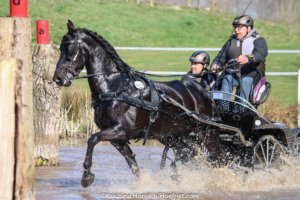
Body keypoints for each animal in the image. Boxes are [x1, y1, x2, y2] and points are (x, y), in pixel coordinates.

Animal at [53, 20, 223, 188]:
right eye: (60, 47)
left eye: (70, 48)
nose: (58, 78)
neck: (115, 88)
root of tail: (204, 93)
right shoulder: (117, 138)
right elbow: (132, 163)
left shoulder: (121, 131)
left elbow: (92, 139)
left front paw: (87, 175)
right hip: (174, 136)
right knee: (189, 152)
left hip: (208, 134)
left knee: (218, 159)